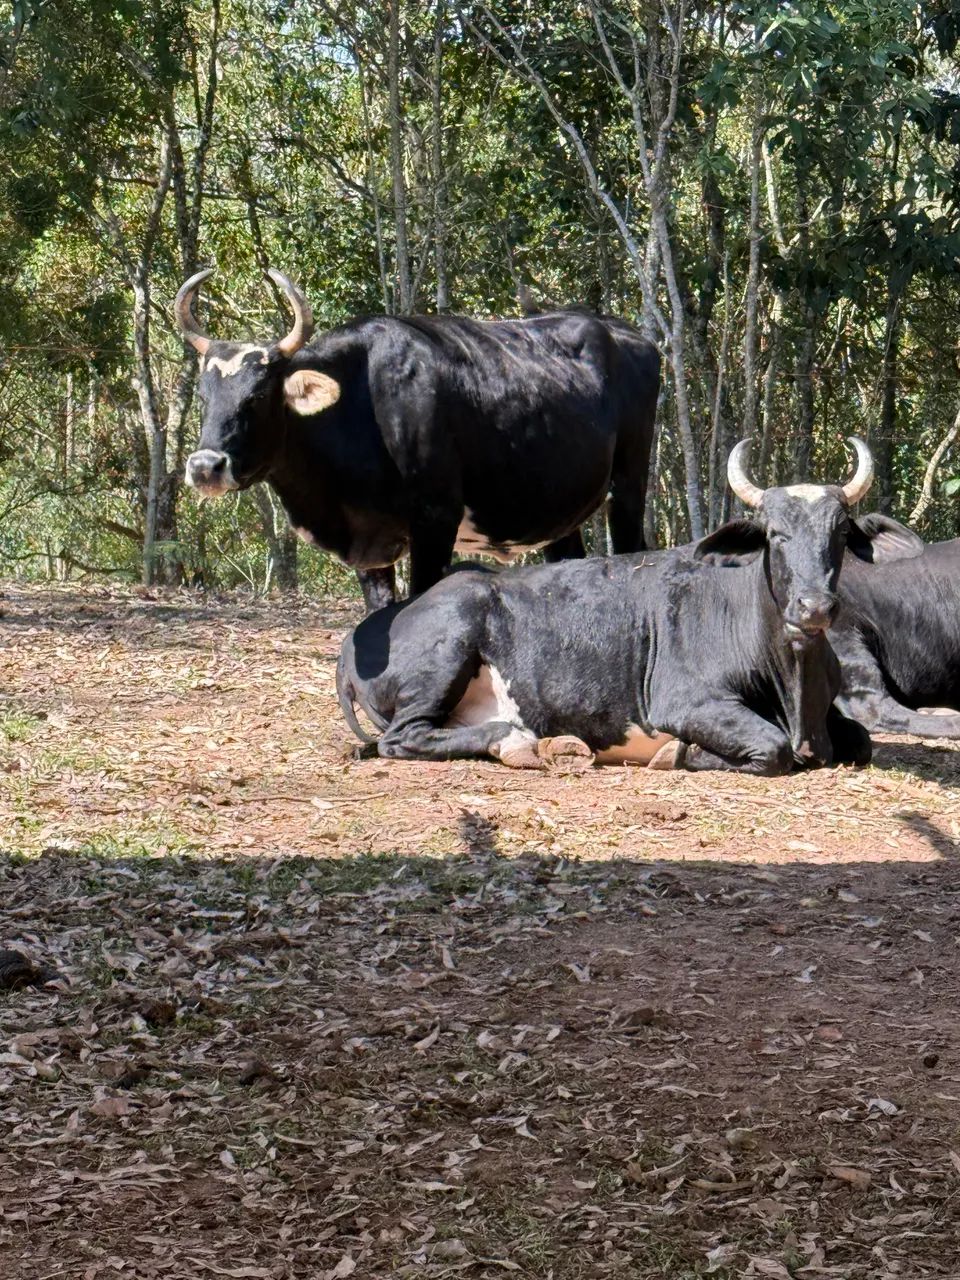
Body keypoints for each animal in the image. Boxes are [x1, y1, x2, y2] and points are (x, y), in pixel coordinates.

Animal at [174, 269, 659, 612]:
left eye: (258, 396)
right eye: (204, 395)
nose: (204, 467)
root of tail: (626, 333)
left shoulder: (435, 521)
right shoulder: (372, 548)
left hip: (628, 488)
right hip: (559, 513)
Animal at [336, 439, 913, 775]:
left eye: (839, 533)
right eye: (776, 534)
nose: (813, 605)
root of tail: (361, 633)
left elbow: (862, 740)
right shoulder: (683, 703)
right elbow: (770, 748)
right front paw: (677, 753)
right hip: (446, 655)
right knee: (403, 738)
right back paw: (517, 743)